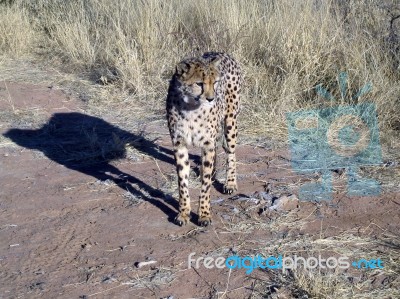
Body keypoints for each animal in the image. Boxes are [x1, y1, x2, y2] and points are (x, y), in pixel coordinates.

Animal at [166, 52, 242, 227]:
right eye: (199, 83)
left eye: (215, 82)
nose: (211, 98)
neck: (190, 107)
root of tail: (222, 52)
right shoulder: (179, 144)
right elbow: (182, 182)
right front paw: (183, 213)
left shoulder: (207, 144)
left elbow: (205, 185)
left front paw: (204, 214)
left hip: (230, 122)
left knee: (231, 152)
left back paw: (230, 183)